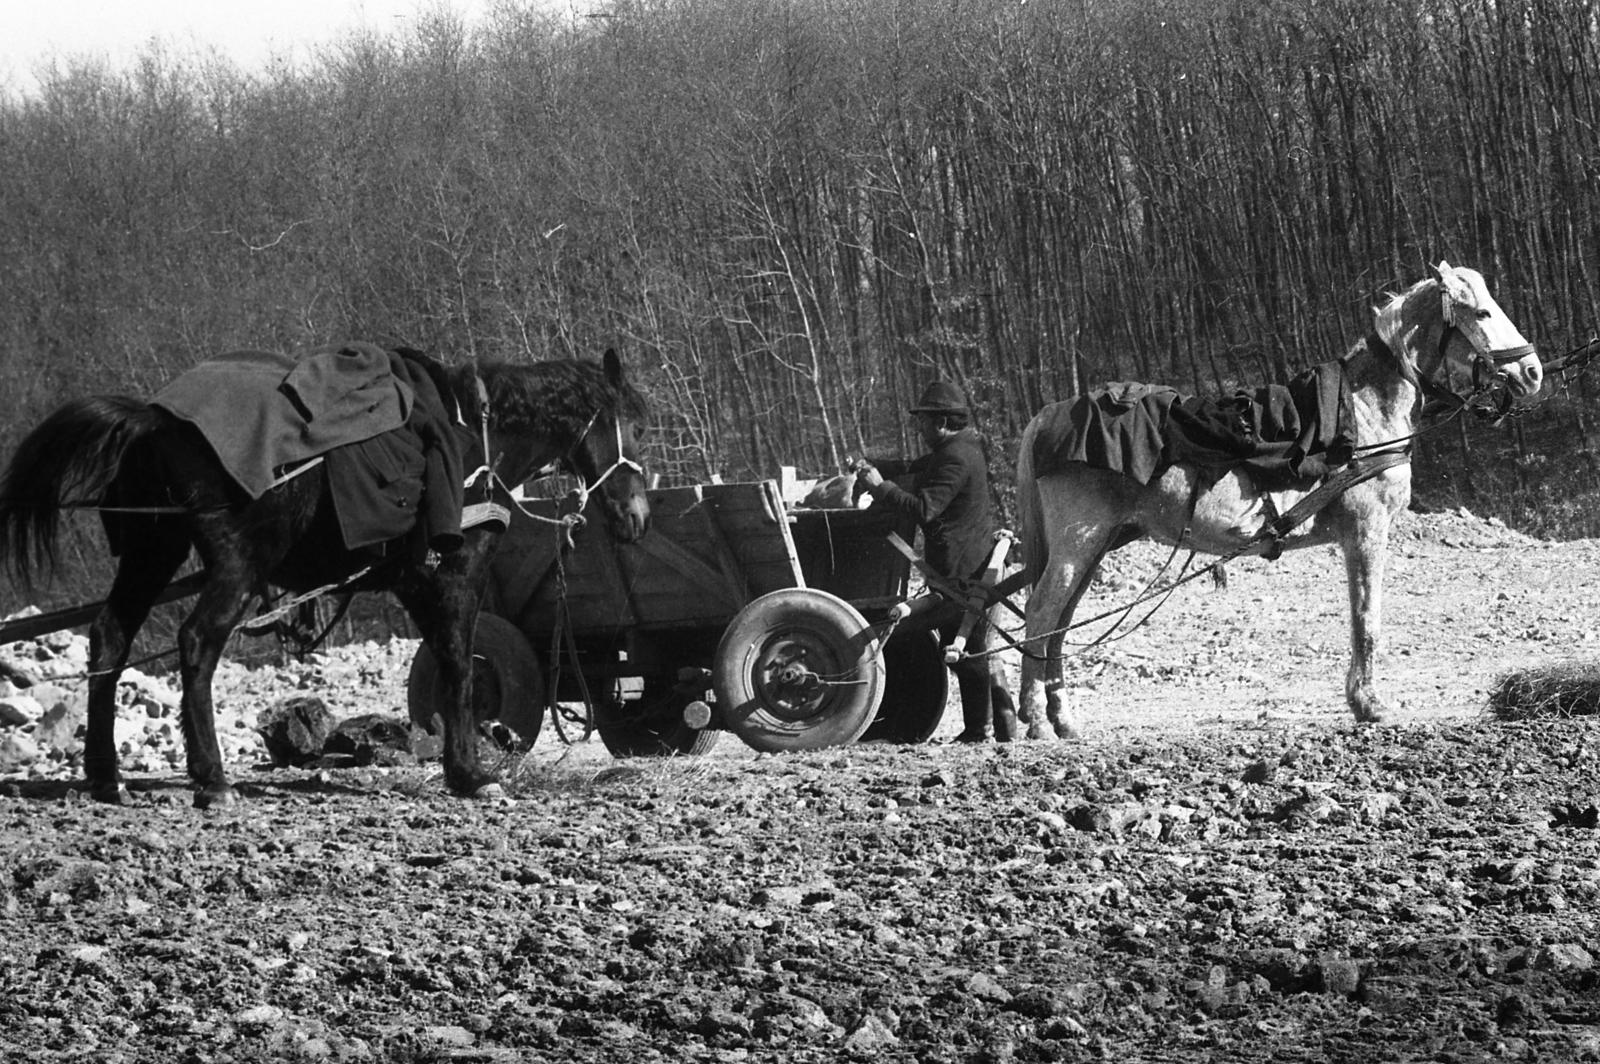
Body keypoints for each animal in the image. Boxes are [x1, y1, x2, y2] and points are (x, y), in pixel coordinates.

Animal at [1, 348, 649, 806]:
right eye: (637, 426)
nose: (637, 517)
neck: (476, 439)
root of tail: (152, 420)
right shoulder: (453, 573)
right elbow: (460, 664)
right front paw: (470, 773)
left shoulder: (414, 580)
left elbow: (447, 662)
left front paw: (460, 767)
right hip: (235, 564)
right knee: (197, 643)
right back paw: (212, 780)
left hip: (151, 554)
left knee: (110, 638)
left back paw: (106, 776)